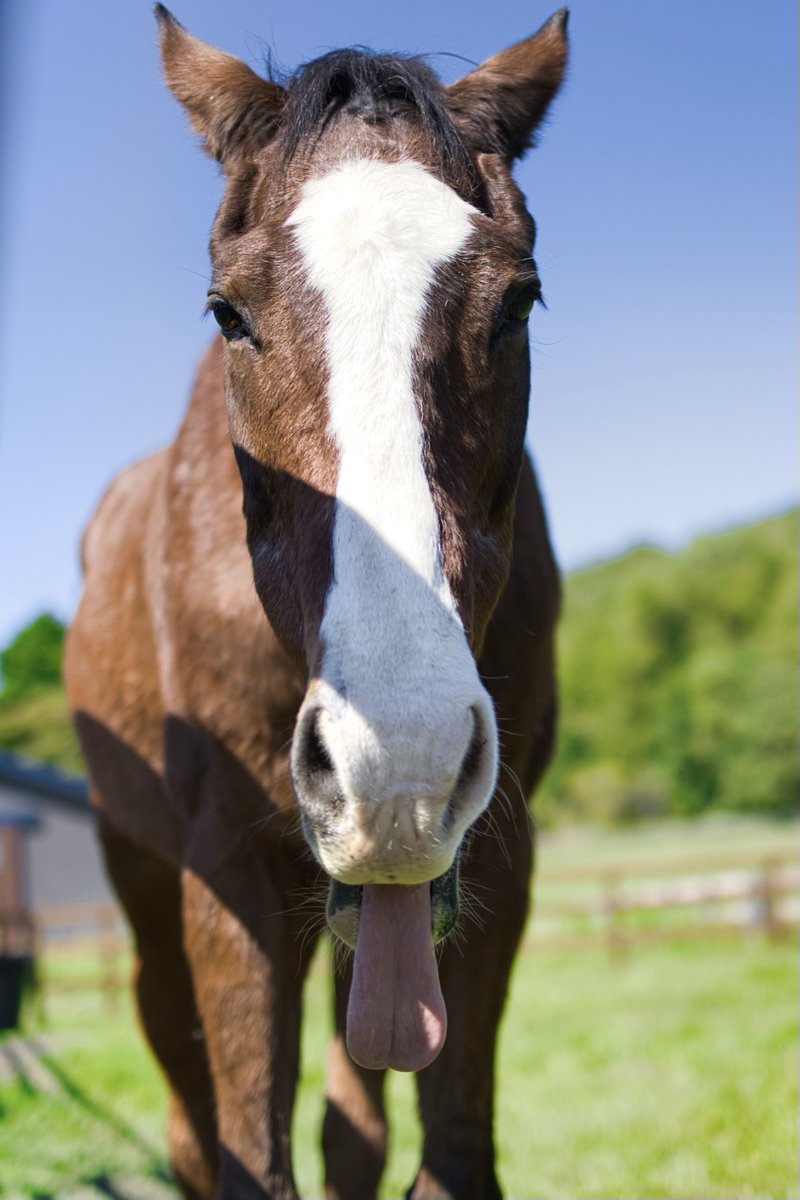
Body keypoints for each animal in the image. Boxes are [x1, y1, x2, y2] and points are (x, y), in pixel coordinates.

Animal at [64, 7, 566, 1198]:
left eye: (517, 300)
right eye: (228, 313)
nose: (401, 768)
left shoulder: (494, 861)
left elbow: (440, 1148)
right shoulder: (225, 873)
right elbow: (249, 1149)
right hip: (153, 904)